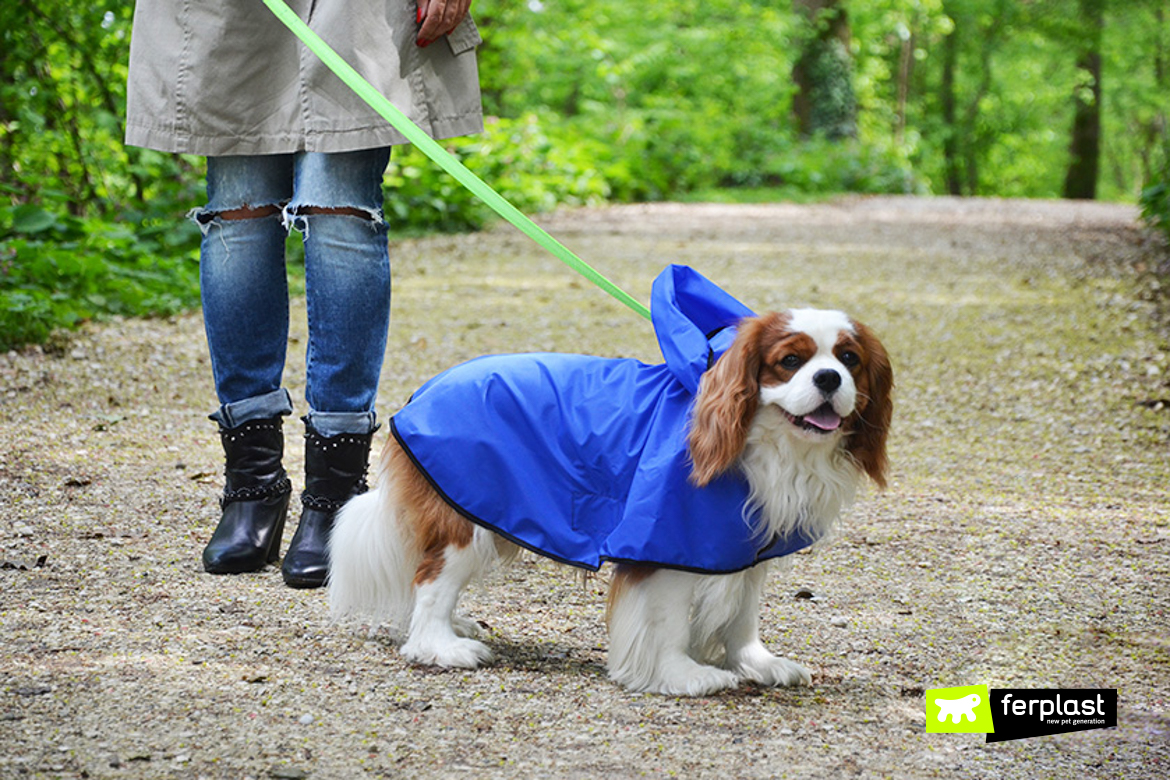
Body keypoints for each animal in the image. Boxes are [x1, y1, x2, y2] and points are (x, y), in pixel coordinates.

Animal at [325, 266, 889, 696]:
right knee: (430, 582)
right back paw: (439, 645)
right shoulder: (667, 541)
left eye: (849, 360)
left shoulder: (742, 544)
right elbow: (668, 620)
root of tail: (422, 392)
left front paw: (756, 662)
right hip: (466, 517)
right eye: (790, 361)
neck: (762, 441)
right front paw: (682, 675)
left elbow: (743, 614)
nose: (829, 379)